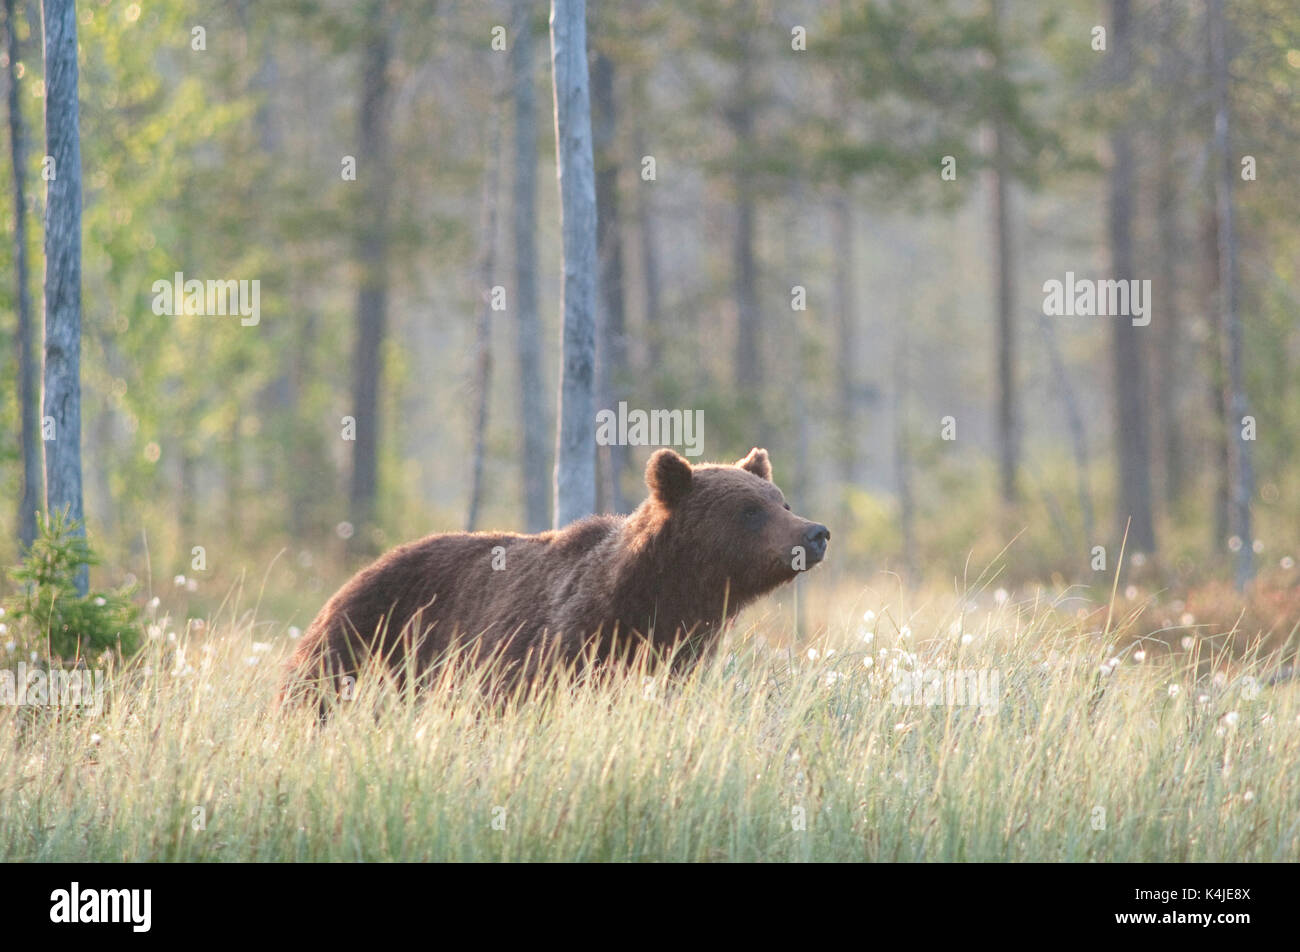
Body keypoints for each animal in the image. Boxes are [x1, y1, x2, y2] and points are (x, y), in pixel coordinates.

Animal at [282, 449, 832, 712]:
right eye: (750, 511)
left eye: (781, 500)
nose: (816, 531)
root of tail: (356, 574)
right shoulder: (555, 645)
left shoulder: (677, 655)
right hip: (367, 639)